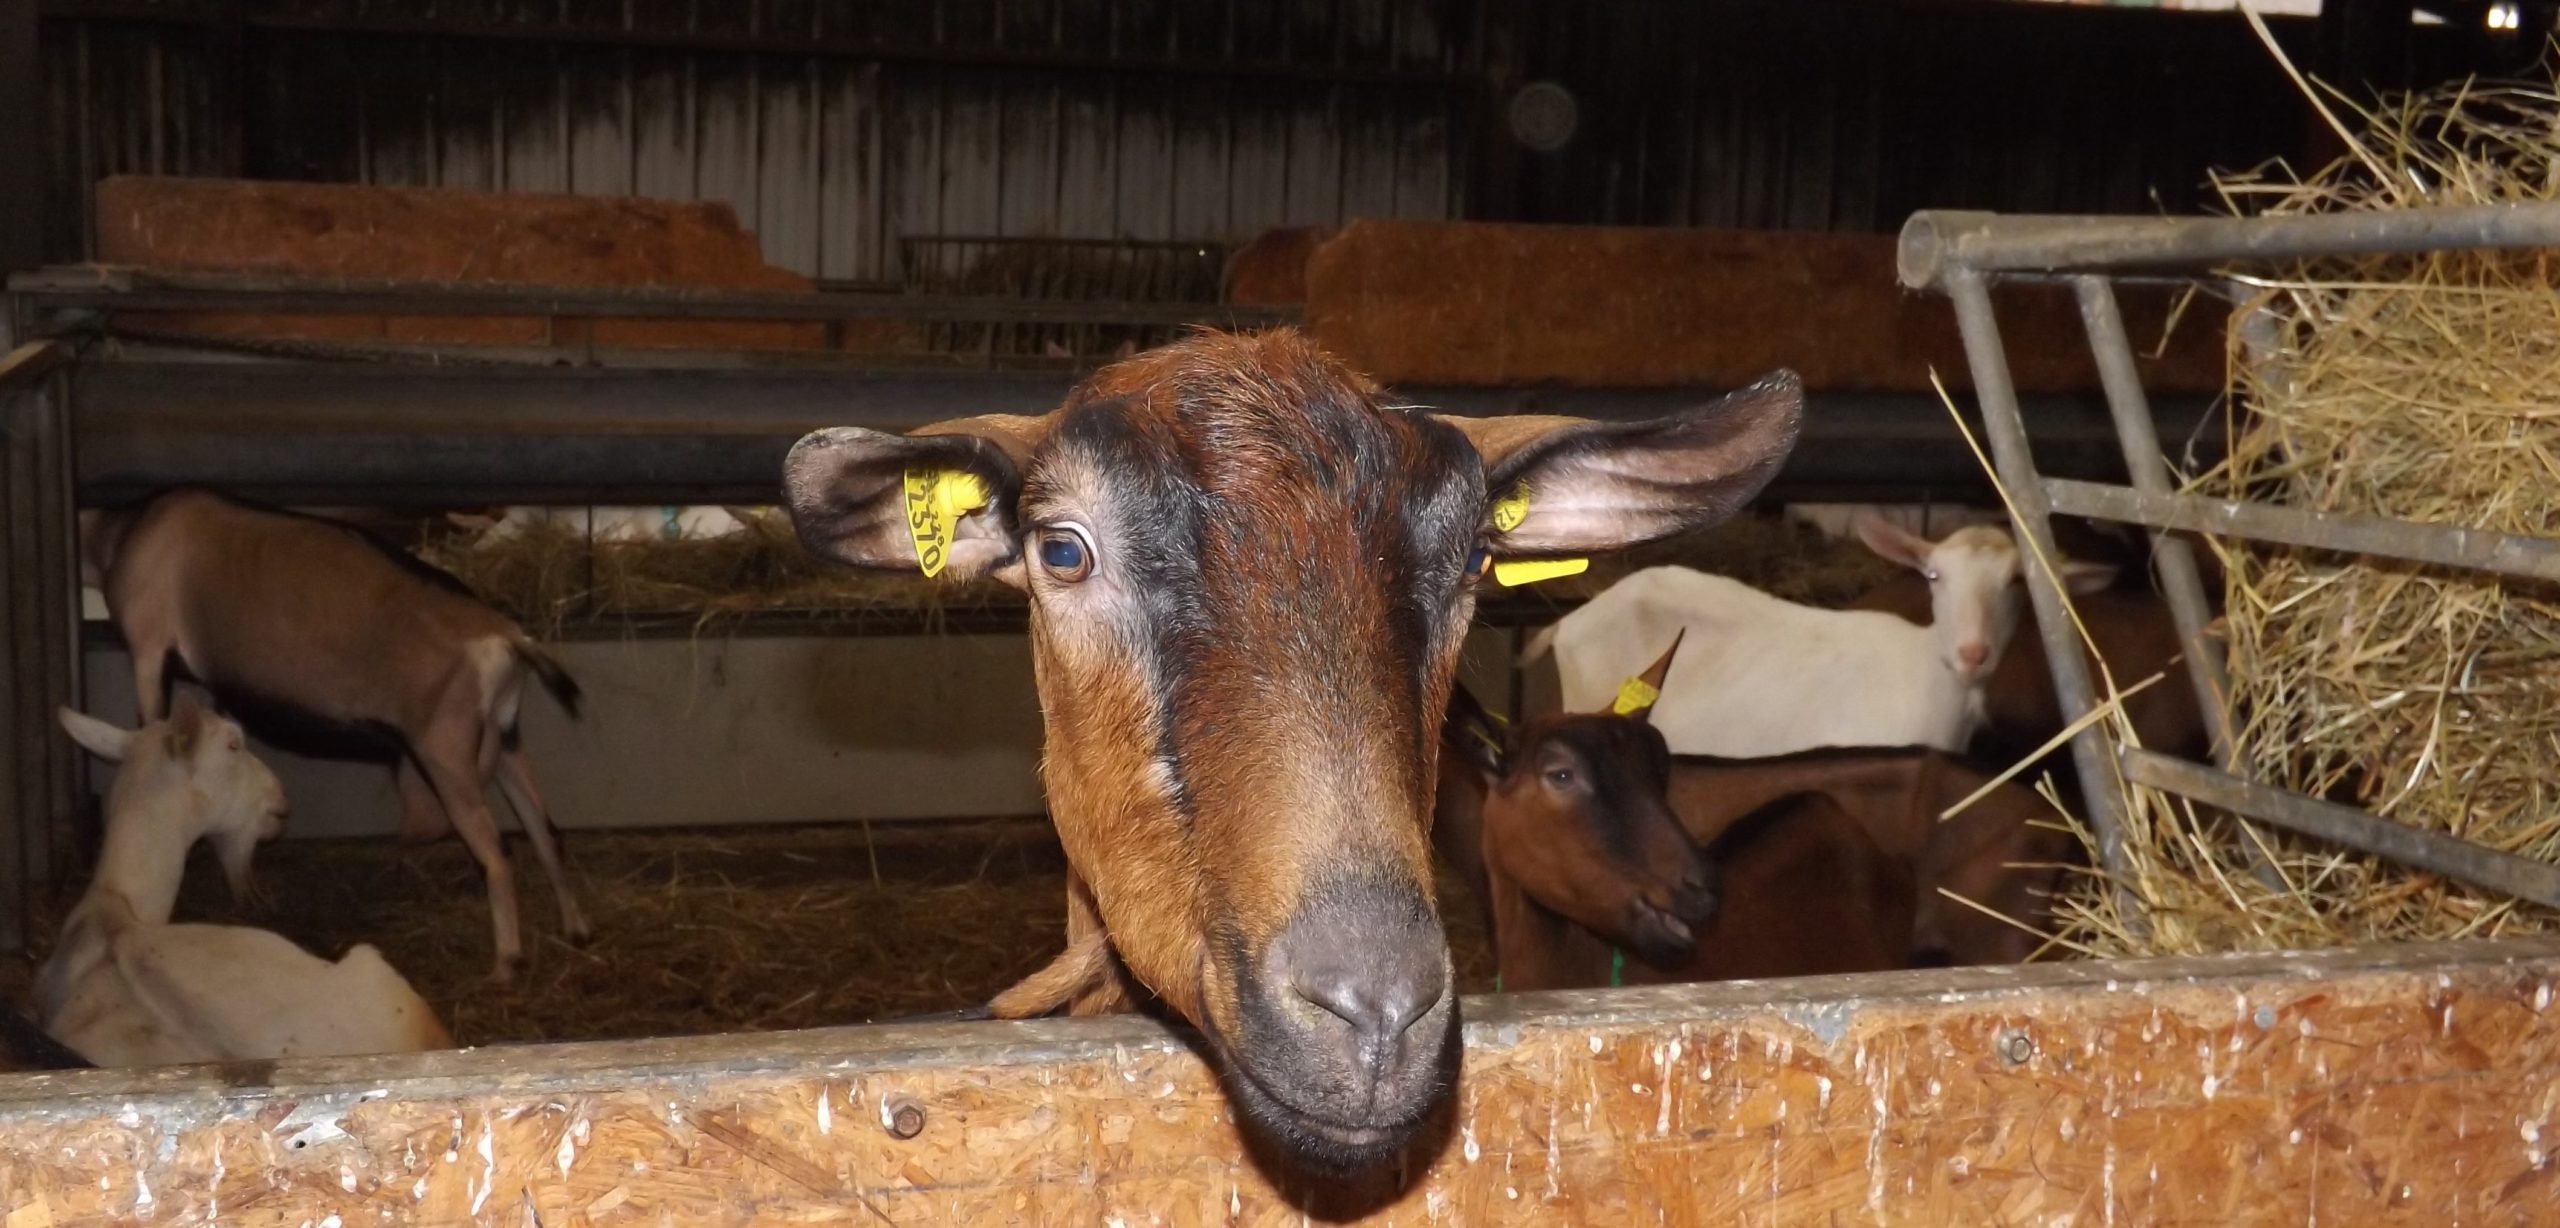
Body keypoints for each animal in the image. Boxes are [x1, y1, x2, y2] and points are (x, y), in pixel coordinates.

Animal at [82, 488, 591, 977]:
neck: (129, 526)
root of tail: (508, 640)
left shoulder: (149, 651)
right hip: (505, 741)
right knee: (547, 833)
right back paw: (576, 931)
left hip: (447, 756)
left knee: (497, 854)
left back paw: (507, 963)